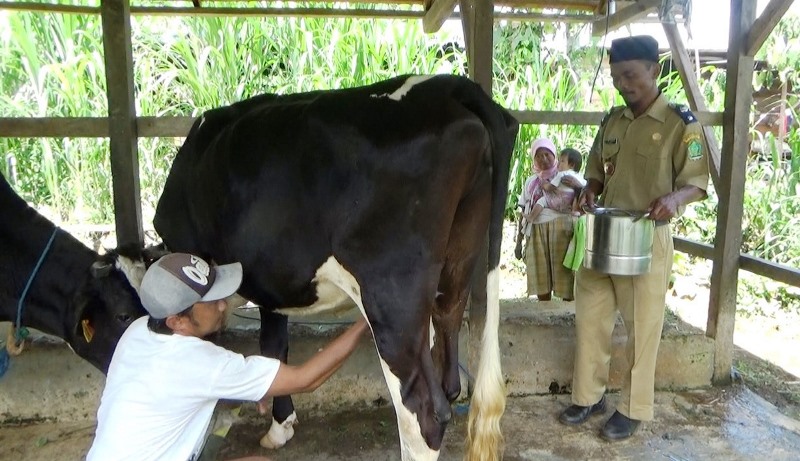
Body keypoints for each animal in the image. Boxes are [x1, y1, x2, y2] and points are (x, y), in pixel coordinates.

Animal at [155, 73, 520, 458]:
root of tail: (449, 86)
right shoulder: (274, 285)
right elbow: (275, 347)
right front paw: (281, 425)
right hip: (458, 263)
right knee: (448, 368)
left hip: (392, 296)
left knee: (423, 411)